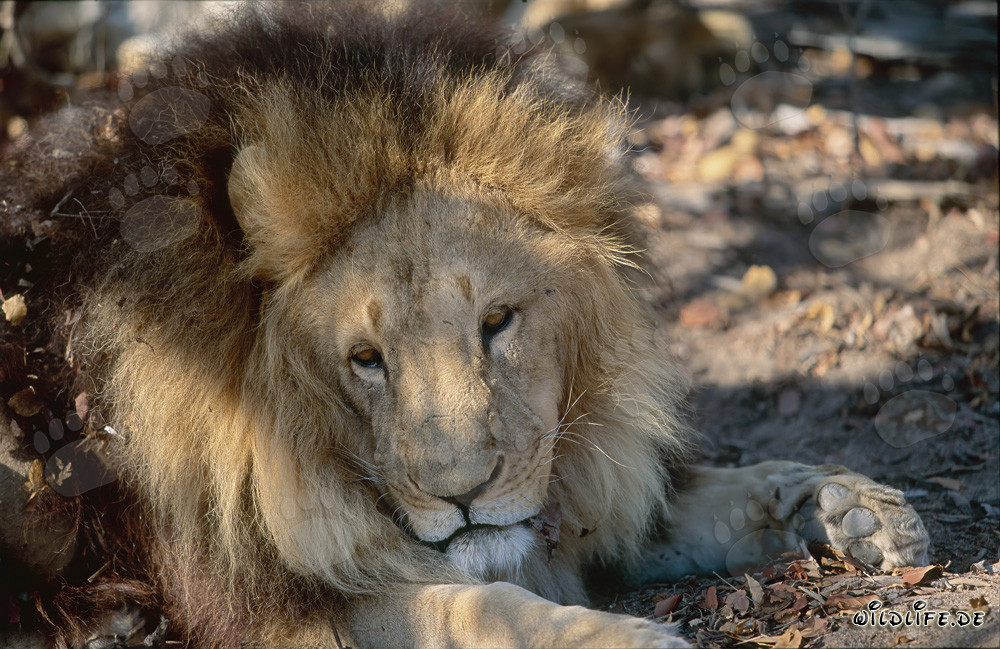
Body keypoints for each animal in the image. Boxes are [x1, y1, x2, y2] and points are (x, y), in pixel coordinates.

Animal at [0, 4, 929, 648]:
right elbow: (480, 605)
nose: (464, 495)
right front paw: (623, 636)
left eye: (498, 321)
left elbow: (705, 496)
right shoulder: (275, 607)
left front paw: (845, 505)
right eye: (365, 359)